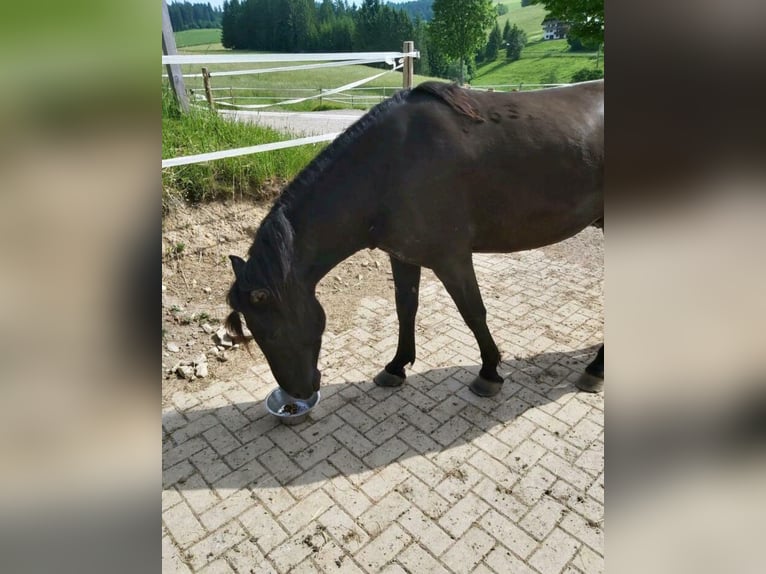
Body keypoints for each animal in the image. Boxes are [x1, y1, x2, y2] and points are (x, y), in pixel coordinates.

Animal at [228, 82, 608, 400]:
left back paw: (595, 369)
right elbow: (405, 308)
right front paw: (396, 367)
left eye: (271, 332)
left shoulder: (452, 258)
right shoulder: (403, 255)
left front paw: (489, 373)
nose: (299, 393)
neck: (388, 167)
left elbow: (473, 312)